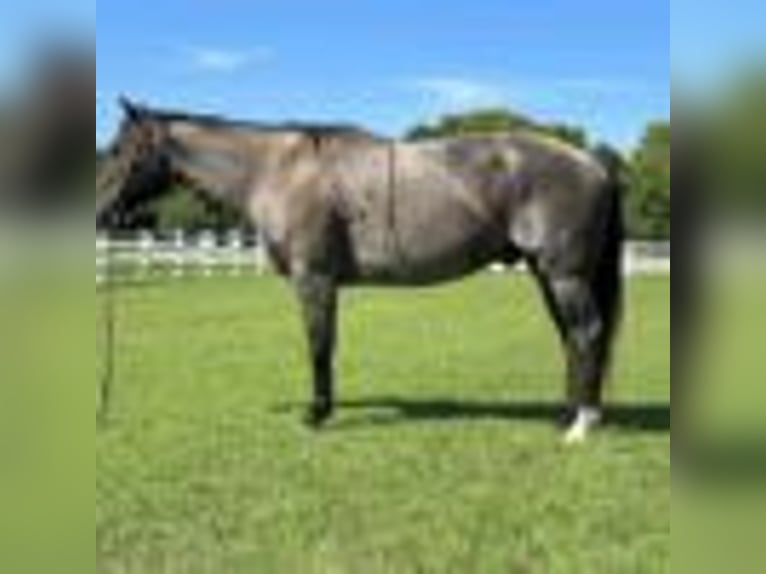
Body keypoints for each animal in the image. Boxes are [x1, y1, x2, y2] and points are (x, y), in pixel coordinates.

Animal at [97, 99, 625, 443]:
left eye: (120, 149)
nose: (102, 214)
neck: (279, 169)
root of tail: (593, 163)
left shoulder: (314, 279)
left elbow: (319, 346)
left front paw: (316, 415)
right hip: (546, 274)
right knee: (572, 336)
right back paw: (568, 416)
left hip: (564, 276)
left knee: (587, 333)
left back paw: (582, 426)